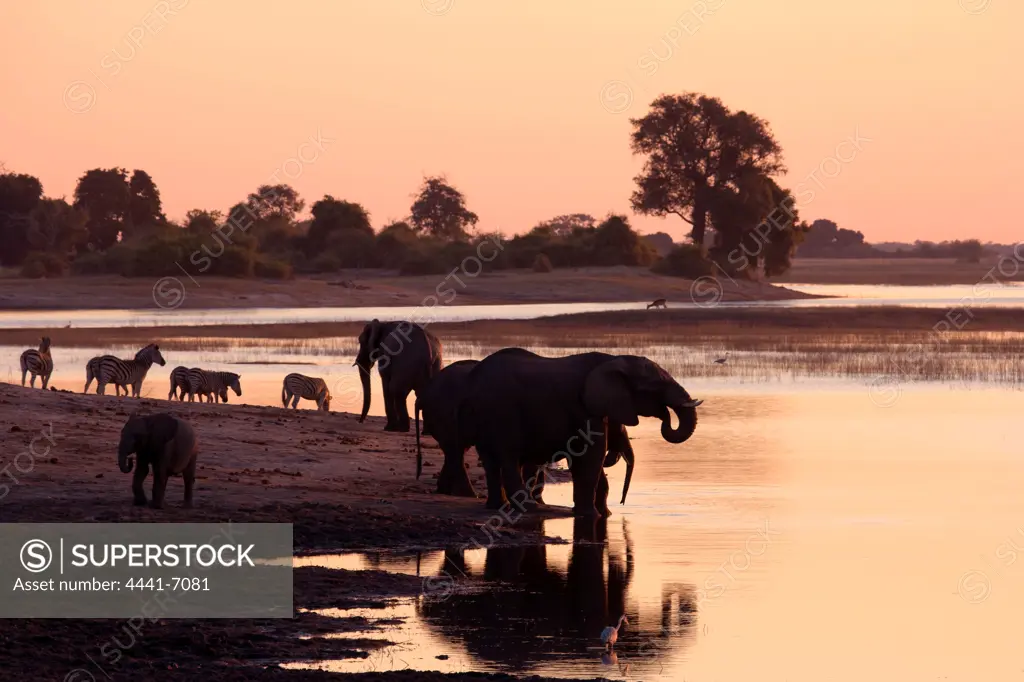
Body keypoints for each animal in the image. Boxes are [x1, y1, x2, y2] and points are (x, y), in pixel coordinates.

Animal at [460, 350, 700, 516]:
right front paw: (591, 515)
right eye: (655, 386)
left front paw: (603, 514)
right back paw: (528, 508)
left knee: (490, 459)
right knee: (509, 456)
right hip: (501, 410)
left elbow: (586, 459)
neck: (612, 360)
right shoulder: (582, 408)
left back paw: (497, 506)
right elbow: (592, 454)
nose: (665, 415)